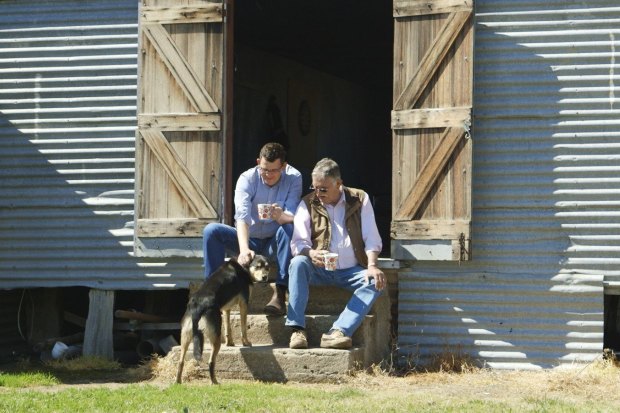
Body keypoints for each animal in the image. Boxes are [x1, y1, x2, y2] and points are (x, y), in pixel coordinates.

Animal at [176, 254, 270, 384]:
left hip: (186, 335)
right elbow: (243, 327)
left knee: (180, 361)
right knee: (211, 362)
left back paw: (178, 382)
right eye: (258, 267)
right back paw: (214, 382)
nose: (265, 277)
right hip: (214, 336)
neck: (243, 267)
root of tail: (197, 305)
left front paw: (230, 343)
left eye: (267, 267)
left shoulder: (226, 309)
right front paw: (246, 342)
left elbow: (228, 328)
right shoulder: (244, 304)